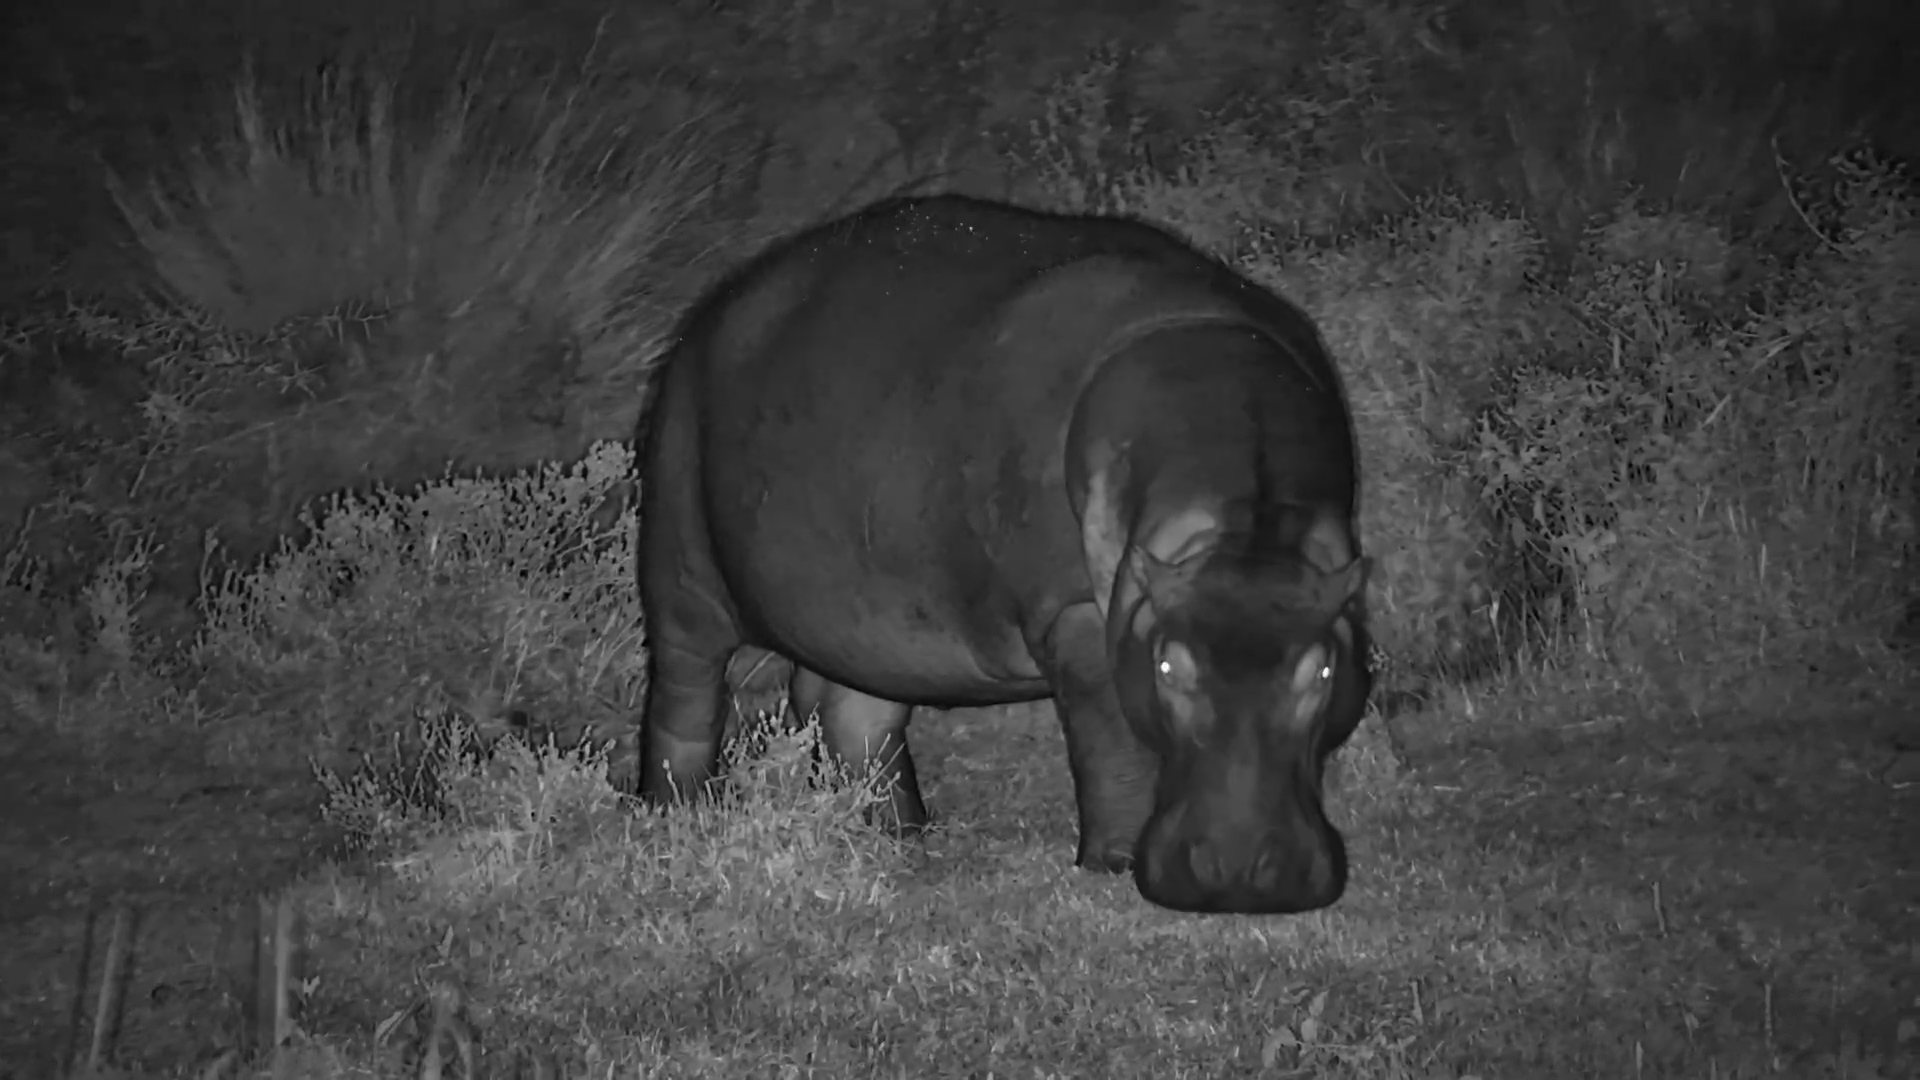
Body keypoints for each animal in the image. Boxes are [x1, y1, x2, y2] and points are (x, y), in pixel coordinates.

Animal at [635, 195, 1372, 914]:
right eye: (1166, 665)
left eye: (1325, 670)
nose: (1239, 876)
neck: (1241, 530)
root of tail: (708, 314)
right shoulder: (1076, 615)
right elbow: (1113, 743)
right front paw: (1113, 865)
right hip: (681, 572)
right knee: (684, 703)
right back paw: (675, 817)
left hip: (864, 622)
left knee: (855, 716)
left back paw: (901, 835)